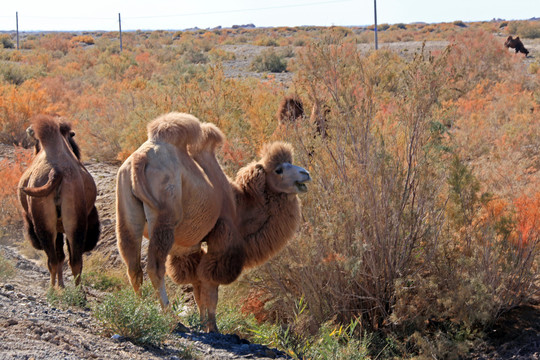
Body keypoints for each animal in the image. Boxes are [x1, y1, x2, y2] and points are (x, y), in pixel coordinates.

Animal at [18, 115, 100, 286]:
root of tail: (56, 172)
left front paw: (60, 285)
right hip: (72, 224)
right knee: (73, 260)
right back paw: (76, 291)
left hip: (46, 225)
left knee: (55, 260)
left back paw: (54, 288)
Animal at [167, 141, 310, 332]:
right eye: (278, 170)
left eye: (291, 162)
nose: (306, 174)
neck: (240, 210)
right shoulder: (222, 244)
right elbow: (210, 289)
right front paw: (213, 329)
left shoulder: (195, 250)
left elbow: (199, 290)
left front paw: (204, 326)